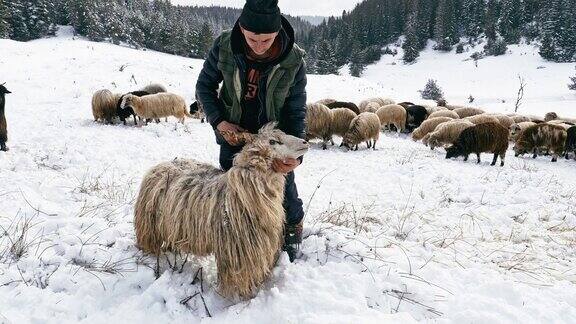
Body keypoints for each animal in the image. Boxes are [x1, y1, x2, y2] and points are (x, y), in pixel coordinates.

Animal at [134, 123, 310, 298]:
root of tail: (162, 164)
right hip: (149, 226)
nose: (305, 142)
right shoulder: (237, 251)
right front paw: (240, 296)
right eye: (273, 141)